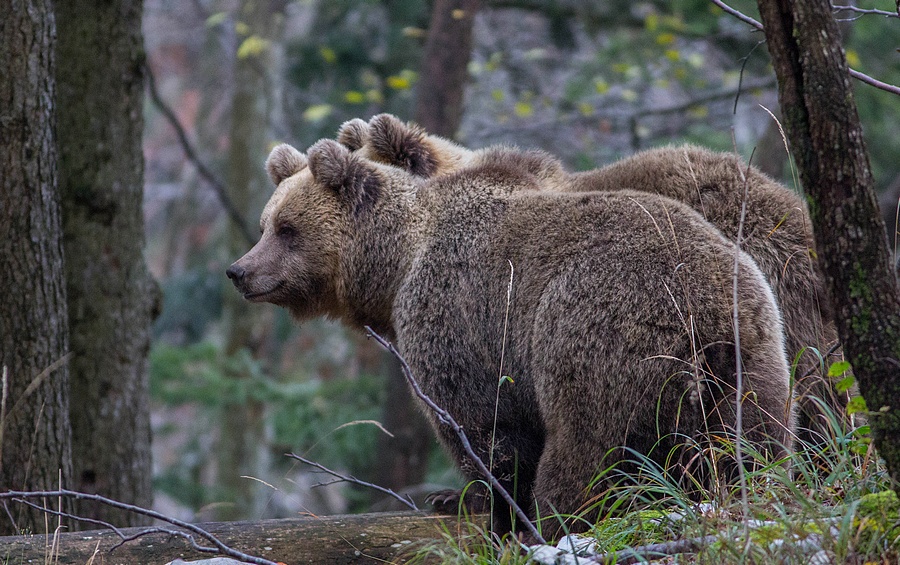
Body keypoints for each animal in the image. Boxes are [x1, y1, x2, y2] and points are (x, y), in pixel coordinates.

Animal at [227, 138, 796, 536]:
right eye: (266, 222)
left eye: (288, 229)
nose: (239, 271)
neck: (395, 268)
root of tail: (703, 321)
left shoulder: (457, 318)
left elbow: (483, 428)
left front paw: (484, 507)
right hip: (755, 358)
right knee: (750, 451)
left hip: (596, 337)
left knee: (587, 450)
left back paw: (556, 521)